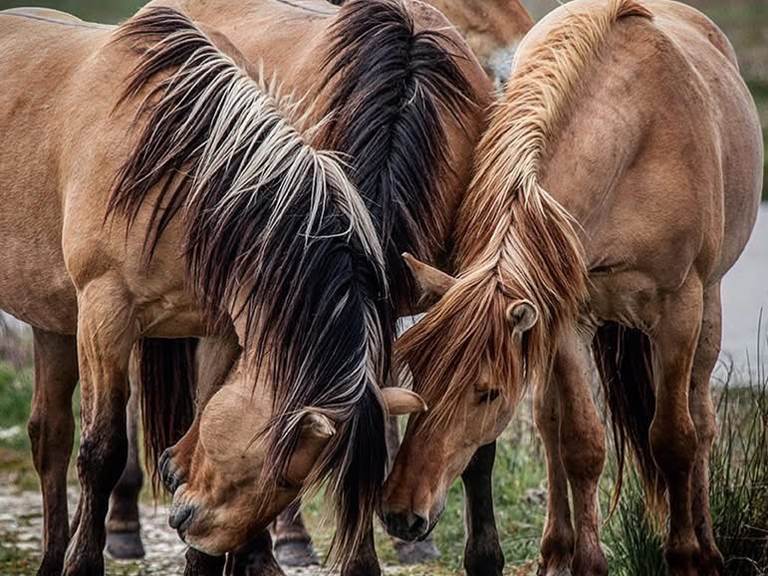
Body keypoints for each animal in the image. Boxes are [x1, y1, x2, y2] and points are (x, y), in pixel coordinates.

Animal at [382, 1, 760, 576]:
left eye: (487, 392)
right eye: (417, 377)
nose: (402, 514)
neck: (634, 140)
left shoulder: (679, 311)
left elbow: (674, 439)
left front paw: (684, 556)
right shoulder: (563, 318)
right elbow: (580, 443)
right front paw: (587, 561)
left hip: (708, 310)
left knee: (701, 419)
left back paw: (710, 549)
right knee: (551, 422)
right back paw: (556, 549)